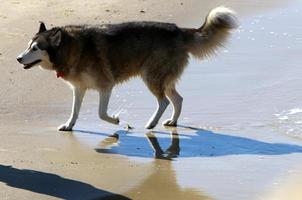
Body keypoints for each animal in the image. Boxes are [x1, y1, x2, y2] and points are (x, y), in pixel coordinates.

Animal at [16, 6, 238, 130]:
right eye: (28, 46)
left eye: (35, 48)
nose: (18, 58)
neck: (71, 47)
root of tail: (179, 30)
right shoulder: (79, 88)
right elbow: (74, 111)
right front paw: (69, 126)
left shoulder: (106, 86)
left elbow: (101, 113)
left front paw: (115, 121)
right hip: (163, 79)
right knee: (178, 99)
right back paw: (172, 122)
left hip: (151, 77)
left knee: (164, 101)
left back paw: (152, 123)